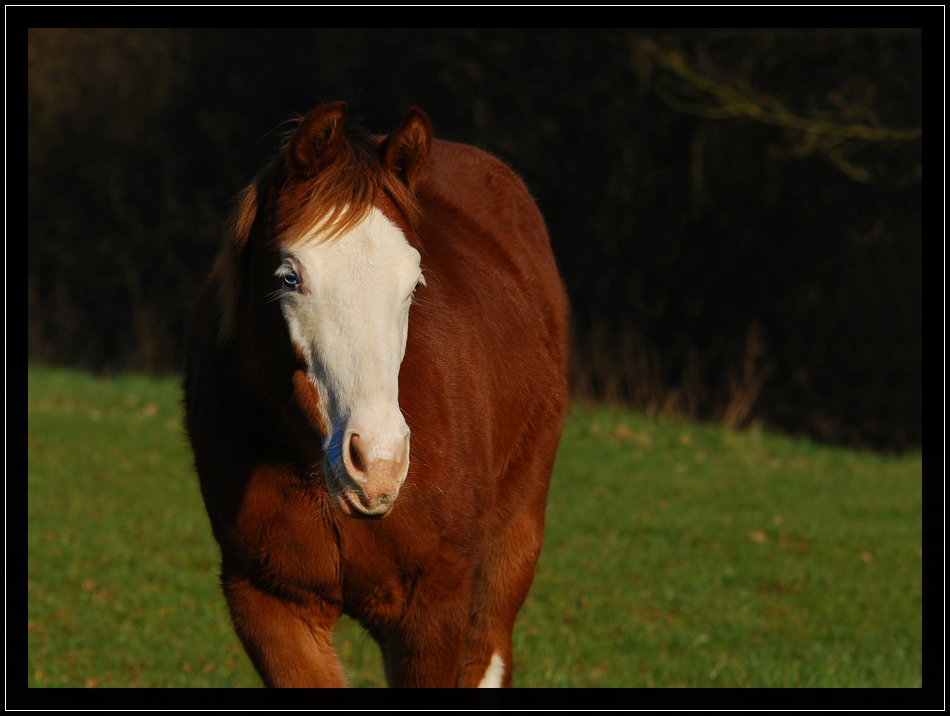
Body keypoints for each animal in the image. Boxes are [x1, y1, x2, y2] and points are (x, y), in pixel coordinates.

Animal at [187, 102, 572, 688]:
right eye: (290, 278)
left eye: (414, 284)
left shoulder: (433, 608)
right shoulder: (271, 605)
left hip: (509, 550)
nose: (379, 463)